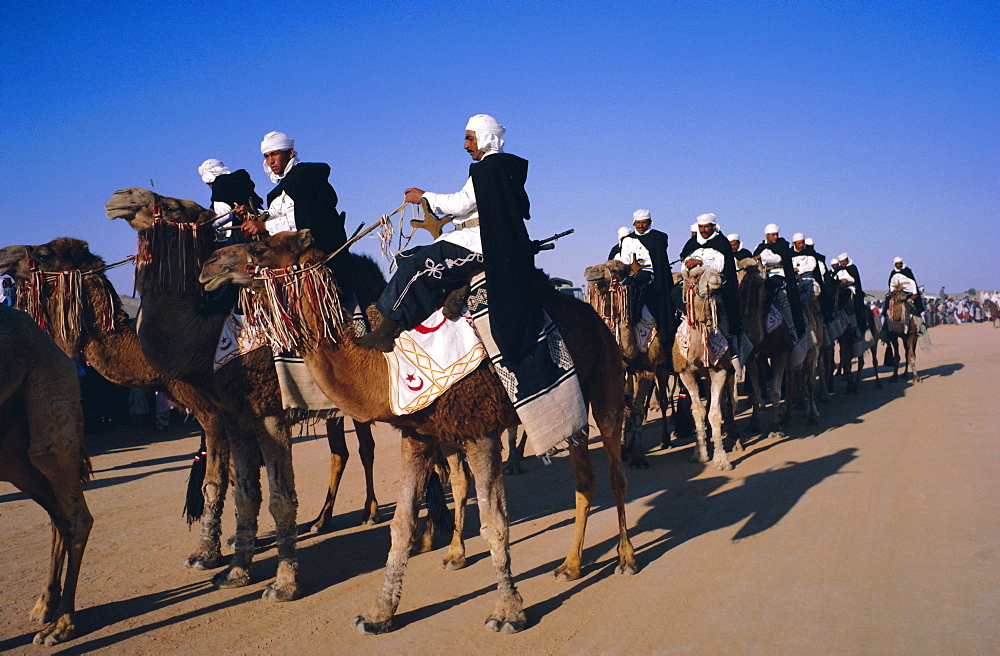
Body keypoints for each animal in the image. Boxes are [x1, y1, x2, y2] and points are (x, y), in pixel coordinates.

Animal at [0, 304, 93, 644]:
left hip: (51, 394)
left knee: (76, 516)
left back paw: (61, 624)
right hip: (11, 456)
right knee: (59, 515)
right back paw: (44, 605)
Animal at [103, 188, 380, 600]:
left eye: (168, 206)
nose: (118, 198)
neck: (204, 338)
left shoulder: (268, 413)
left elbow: (280, 498)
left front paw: (283, 584)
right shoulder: (233, 417)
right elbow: (243, 493)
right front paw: (233, 572)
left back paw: (380, 516)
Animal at [199, 232, 636, 636]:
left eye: (259, 248)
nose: (209, 265)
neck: (385, 366)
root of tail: (593, 317)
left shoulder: (480, 428)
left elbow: (495, 523)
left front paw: (508, 612)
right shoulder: (418, 434)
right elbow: (402, 524)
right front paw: (378, 614)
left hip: (606, 382)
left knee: (615, 473)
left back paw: (626, 559)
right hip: (572, 410)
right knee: (584, 478)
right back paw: (570, 566)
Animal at [584, 256, 676, 466]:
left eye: (617, 270)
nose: (591, 271)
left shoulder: (648, 367)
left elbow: (637, 410)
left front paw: (638, 456)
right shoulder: (625, 369)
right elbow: (625, 408)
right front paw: (625, 449)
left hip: (662, 366)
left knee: (663, 399)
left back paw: (667, 439)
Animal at [672, 266, 736, 472]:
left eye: (716, 270)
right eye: (695, 275)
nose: (716, 279)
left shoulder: (719, 370)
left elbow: (715, 413)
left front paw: (721, 460)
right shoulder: (685, 373)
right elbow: (698, 411)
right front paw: (699, 453)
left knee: (728, 402)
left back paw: (736, 441)